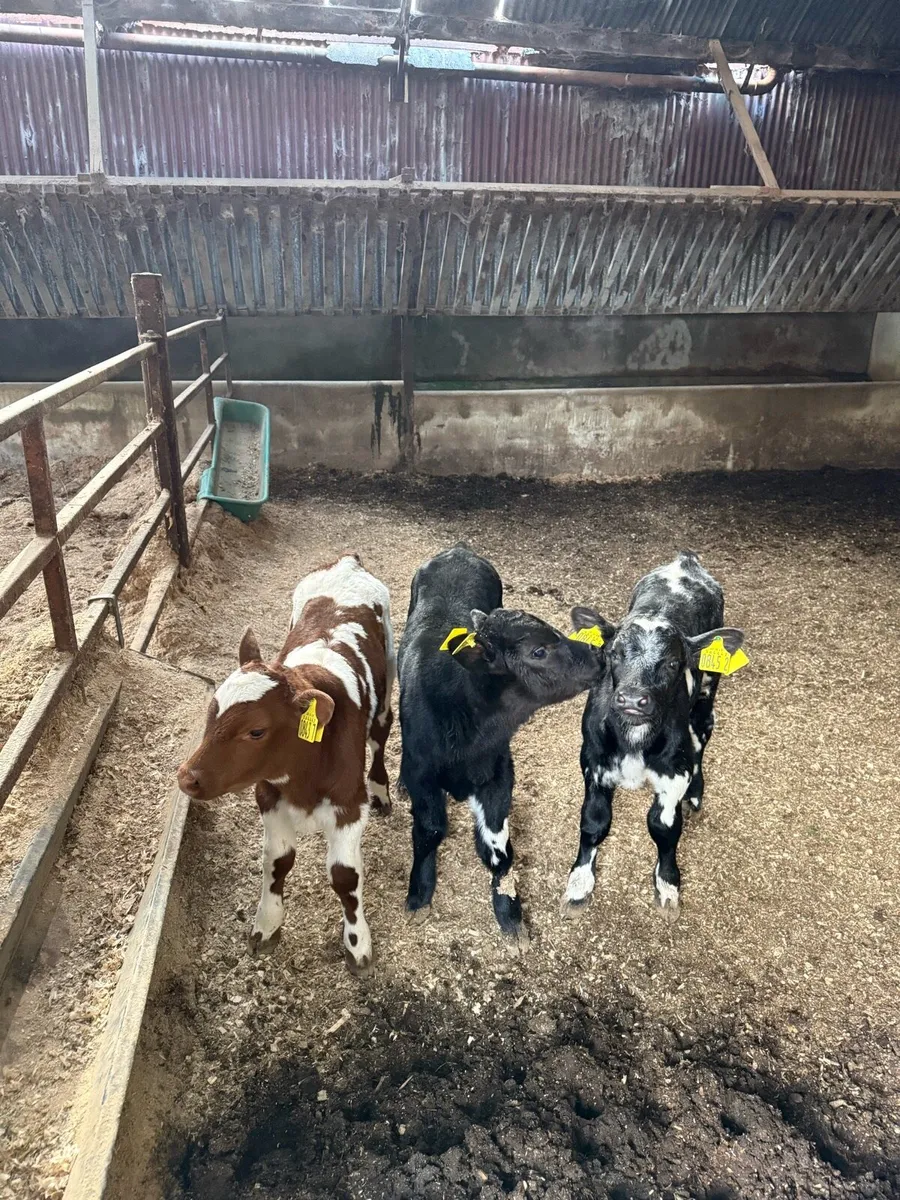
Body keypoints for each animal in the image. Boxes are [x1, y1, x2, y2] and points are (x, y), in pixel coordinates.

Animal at [176, 554, 394, 975]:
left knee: (382, 732)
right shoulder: (268, 796)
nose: (187, 778)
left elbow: (345, 877)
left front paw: (357, 943)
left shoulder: (349, 805)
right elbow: (276, 861)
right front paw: (267, 922)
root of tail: (347, 561)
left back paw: (382, 789)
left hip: (388, 676)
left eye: (256, 731)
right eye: (212, 709)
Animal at [398, 544, 603, 946]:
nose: (600, 655)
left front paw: (509, 912)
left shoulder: (498, 770)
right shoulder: (421, 772)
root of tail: (457, 550)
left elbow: (498, 844)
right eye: (538, 651)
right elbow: (429, 830)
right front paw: (419, 894)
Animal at [561, 551, 745, 922]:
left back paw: (696, 794)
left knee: (703, 732)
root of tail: (685, 560)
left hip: (708, 689)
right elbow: (593, 821)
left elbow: (663, 828)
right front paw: (579, 884)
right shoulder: (593, 760)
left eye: (673, 663)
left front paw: (668, 884)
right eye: (614, 653)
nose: (632, 699)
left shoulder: (675, 771)